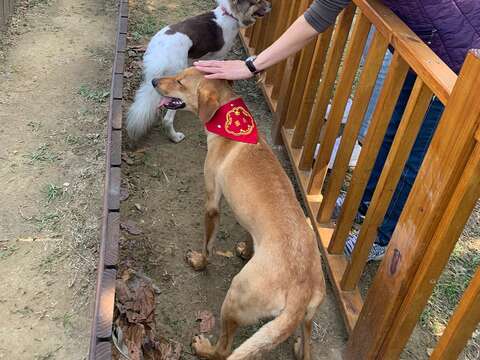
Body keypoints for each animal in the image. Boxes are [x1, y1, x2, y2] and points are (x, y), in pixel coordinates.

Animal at [126, 0, 270, 143]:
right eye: (258, 2)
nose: (270, 6)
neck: (229, 14)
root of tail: (160, 53)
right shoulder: (218, 57)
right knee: (167, 119)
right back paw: (175, 137)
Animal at [153, 68, 326, 360]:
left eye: (179, 81)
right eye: (178, 73)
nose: (154, 81)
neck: (228, 120)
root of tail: (300, 292)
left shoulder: (212, 203)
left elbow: (208, 246)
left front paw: (200, 262)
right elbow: (248, 231)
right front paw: (246, 249)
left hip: (235, 297)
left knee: (224, 349)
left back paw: (204, 348)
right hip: (308, 318)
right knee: (306, 348)